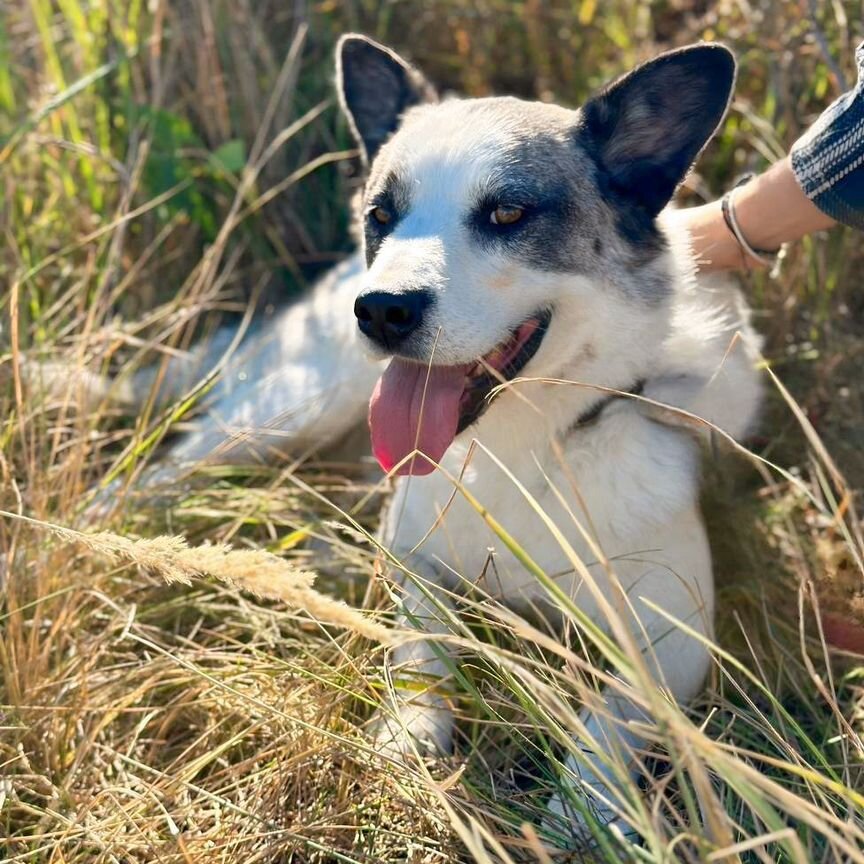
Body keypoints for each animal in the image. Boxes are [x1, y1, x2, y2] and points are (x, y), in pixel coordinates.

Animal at [93, 35, 764, 844]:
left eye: (507, 211)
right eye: (381, 213)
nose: (381, 310)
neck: (522, 445)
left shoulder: (676, 641)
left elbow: (608, 728)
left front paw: (576, 816)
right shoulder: (416, 560)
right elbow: (423, 649)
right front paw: (407, 741)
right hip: (289, 410)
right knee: (158, 471)